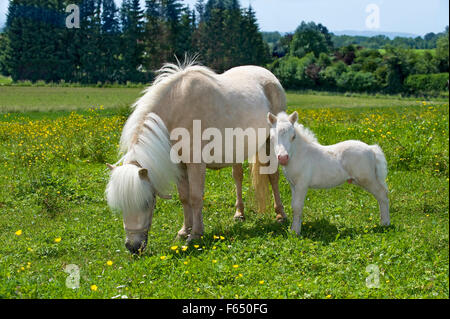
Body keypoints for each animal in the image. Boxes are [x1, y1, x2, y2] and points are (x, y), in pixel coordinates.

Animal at [106, 61, 284, 254]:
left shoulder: (195, 164)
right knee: (238, 177)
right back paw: (239, 214)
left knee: (273, 177)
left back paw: (280, 215)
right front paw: (184, 231)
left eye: (147, 203)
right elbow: (184, 198)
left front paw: (196, 234)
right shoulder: (179, 166)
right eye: (122, 206)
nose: (133, 247)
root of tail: (269, 76)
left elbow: (196, 197)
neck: (177, 110)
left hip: (271, 142)